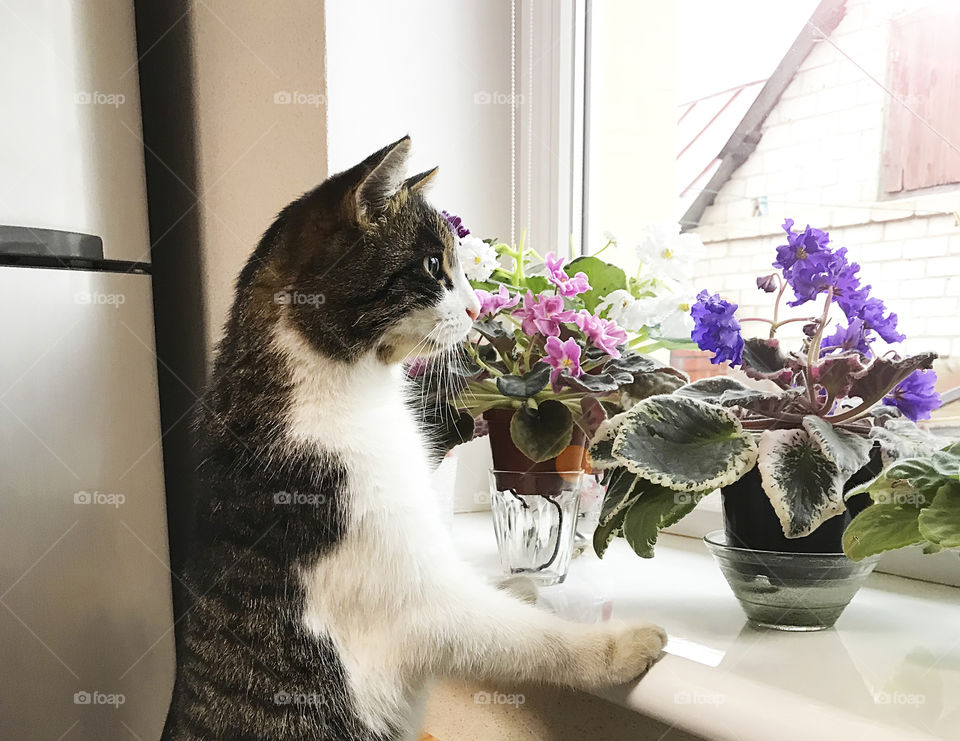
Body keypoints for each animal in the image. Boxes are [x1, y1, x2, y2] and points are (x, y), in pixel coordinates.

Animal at [161, 136, 664, 736]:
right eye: (432, 264)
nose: (476, 308)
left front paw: (517, 585)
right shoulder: (421, 603)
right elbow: (530, 638)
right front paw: (624, 643)